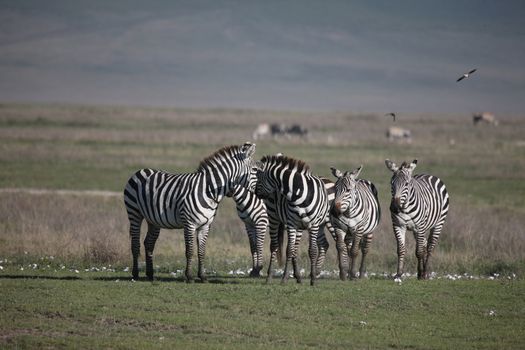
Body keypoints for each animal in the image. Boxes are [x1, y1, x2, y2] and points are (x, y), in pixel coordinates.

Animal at [121, 142, 256, 282]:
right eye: (254, 170)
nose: (258, 193)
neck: (208, 190)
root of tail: (141, 170)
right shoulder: (189, 224)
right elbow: (189, 251)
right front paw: (189, 276)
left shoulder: (205, 226)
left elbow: (201, 251)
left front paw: (202, 276)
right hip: (134, 213)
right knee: (135, 243)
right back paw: (135, 274)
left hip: (152, 219)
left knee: (148, 243)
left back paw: (150, 274)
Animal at [253, 154, 328, 286]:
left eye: (259, 178)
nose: (255, 193)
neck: (300, 194)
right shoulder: (292, 224)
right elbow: (289, 250)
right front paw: (284, 278)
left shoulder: (313, 225)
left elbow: (312, 251)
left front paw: (313, 279)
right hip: (273, 217)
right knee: (274, 246)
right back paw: (269, 277)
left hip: (300, 226)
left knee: (295, 249)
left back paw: (298, 277)